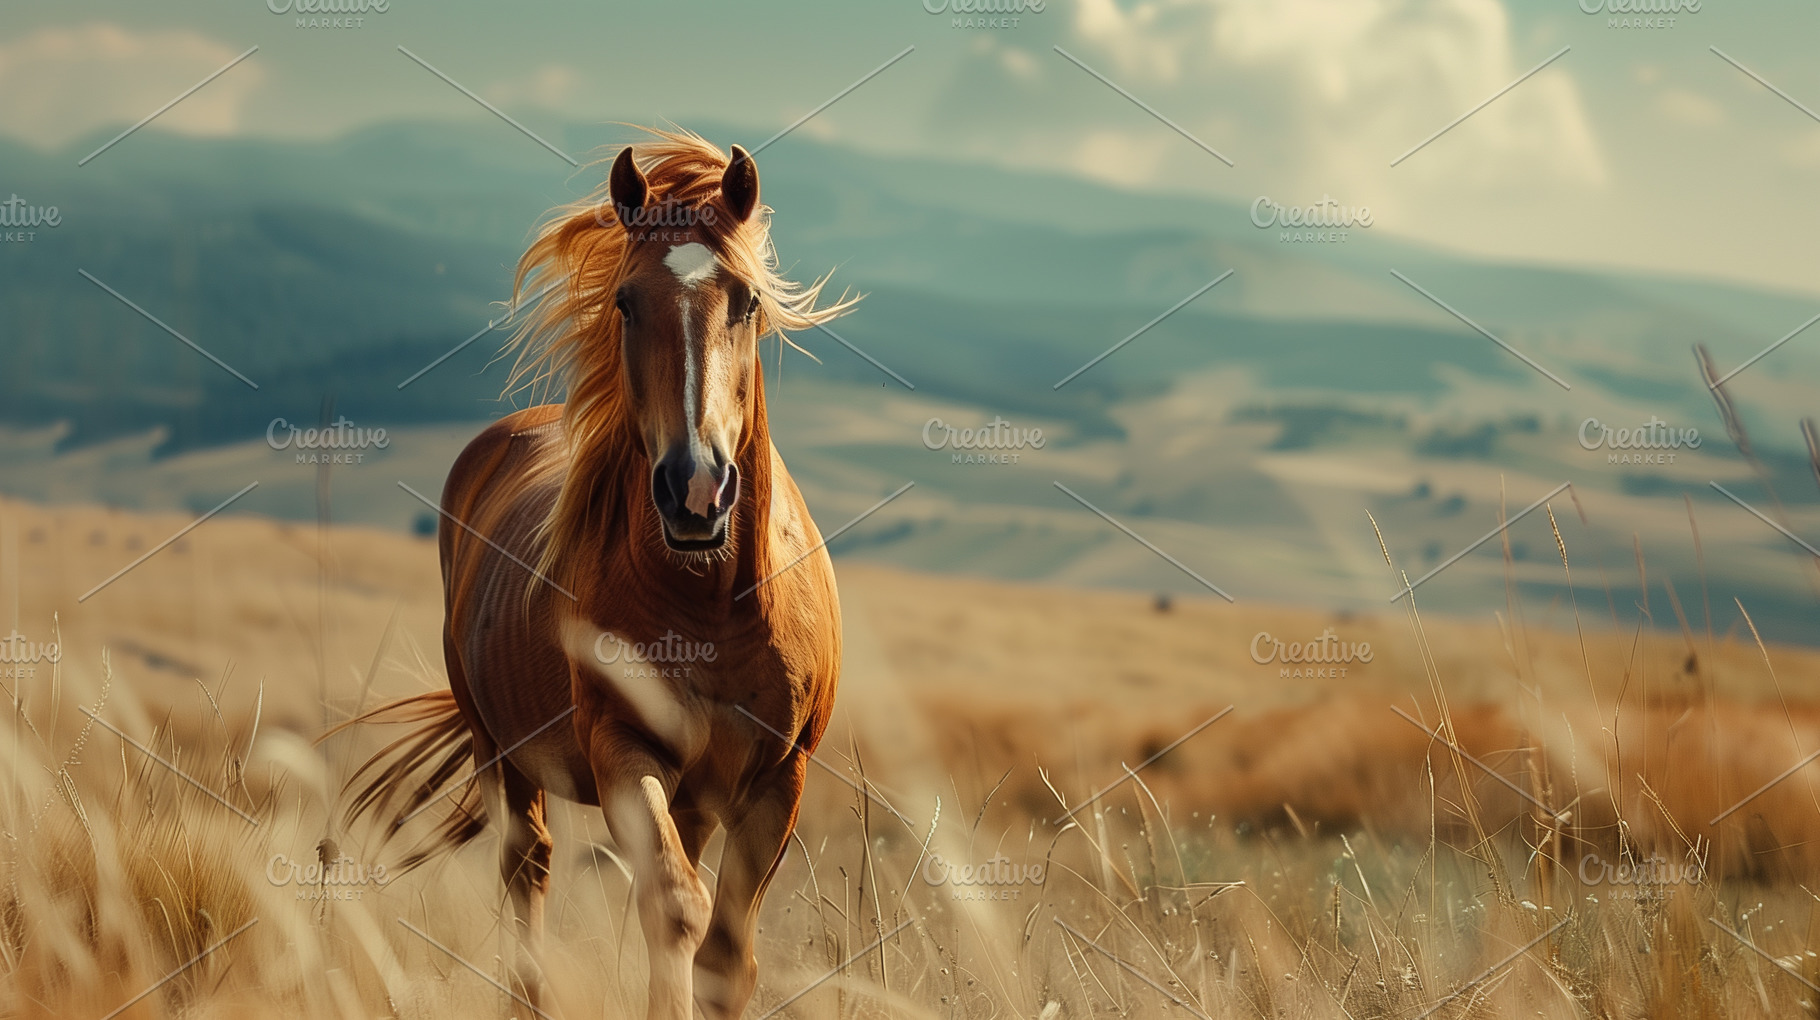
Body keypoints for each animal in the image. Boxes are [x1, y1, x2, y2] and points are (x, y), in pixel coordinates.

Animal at [339, 129, 856, 1019]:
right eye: (625, 302)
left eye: (748, 302)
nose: (694, 488)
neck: (713, 600)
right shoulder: (623, 747)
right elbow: (674, 908)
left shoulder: (776, 781)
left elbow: (725, 954)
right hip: (499, 750)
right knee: (528, 866)